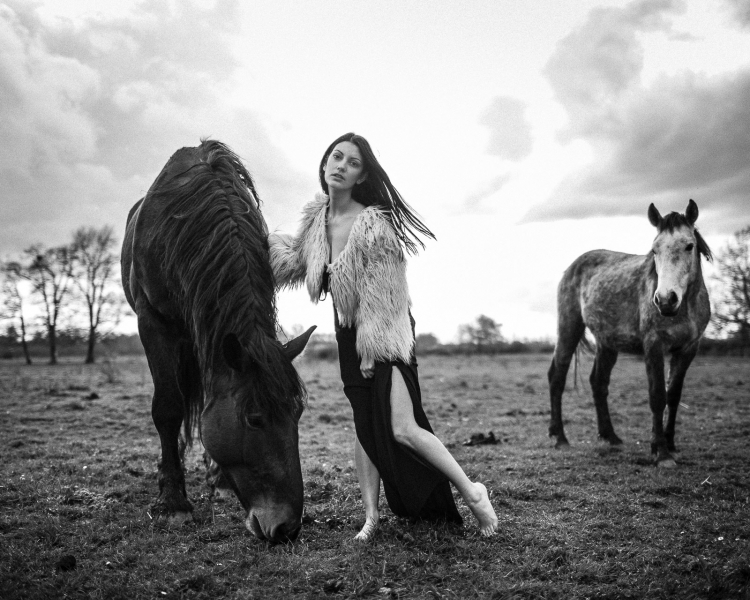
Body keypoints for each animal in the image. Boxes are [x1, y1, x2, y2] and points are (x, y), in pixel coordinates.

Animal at [122, 139, 316, 540]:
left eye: (298, 412)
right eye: (254, 420)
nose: (287, 527)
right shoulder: (153, 322)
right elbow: (168, 407)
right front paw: (172, 503)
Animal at [548, 199, 712, 466]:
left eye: (689, 246)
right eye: (654, 250)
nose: (665, 300)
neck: (684, 308)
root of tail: (573, 266)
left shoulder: (688, 349)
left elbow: (674, 396)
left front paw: (671, 445)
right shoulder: (653, 346)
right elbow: (657, 396)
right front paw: (661, 453)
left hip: (607, 342)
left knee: (598, 382)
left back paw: (610, 436)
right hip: (569, 328)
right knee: (557, 376)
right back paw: (559, 438)